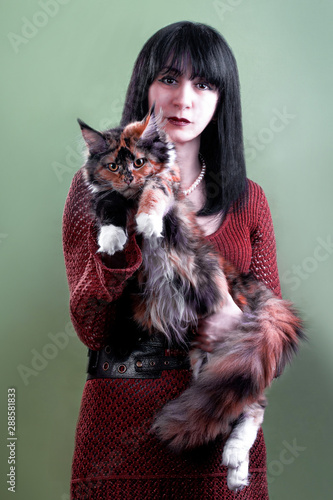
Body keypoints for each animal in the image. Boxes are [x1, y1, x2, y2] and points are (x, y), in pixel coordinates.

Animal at [78, 107, 304, 490]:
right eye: (113, 166)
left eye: (139, 161)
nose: (129, 177)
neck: (131, 196)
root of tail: (258, 293)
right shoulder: (107, 197)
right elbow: (110, 207)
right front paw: (111, 241)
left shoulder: (166, 184)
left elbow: (154, 193)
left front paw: (147, 221)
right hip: (209, 362)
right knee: (242, 405)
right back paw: (237, 469)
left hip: (237, 353)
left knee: (253, 407)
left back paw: (235, 462)